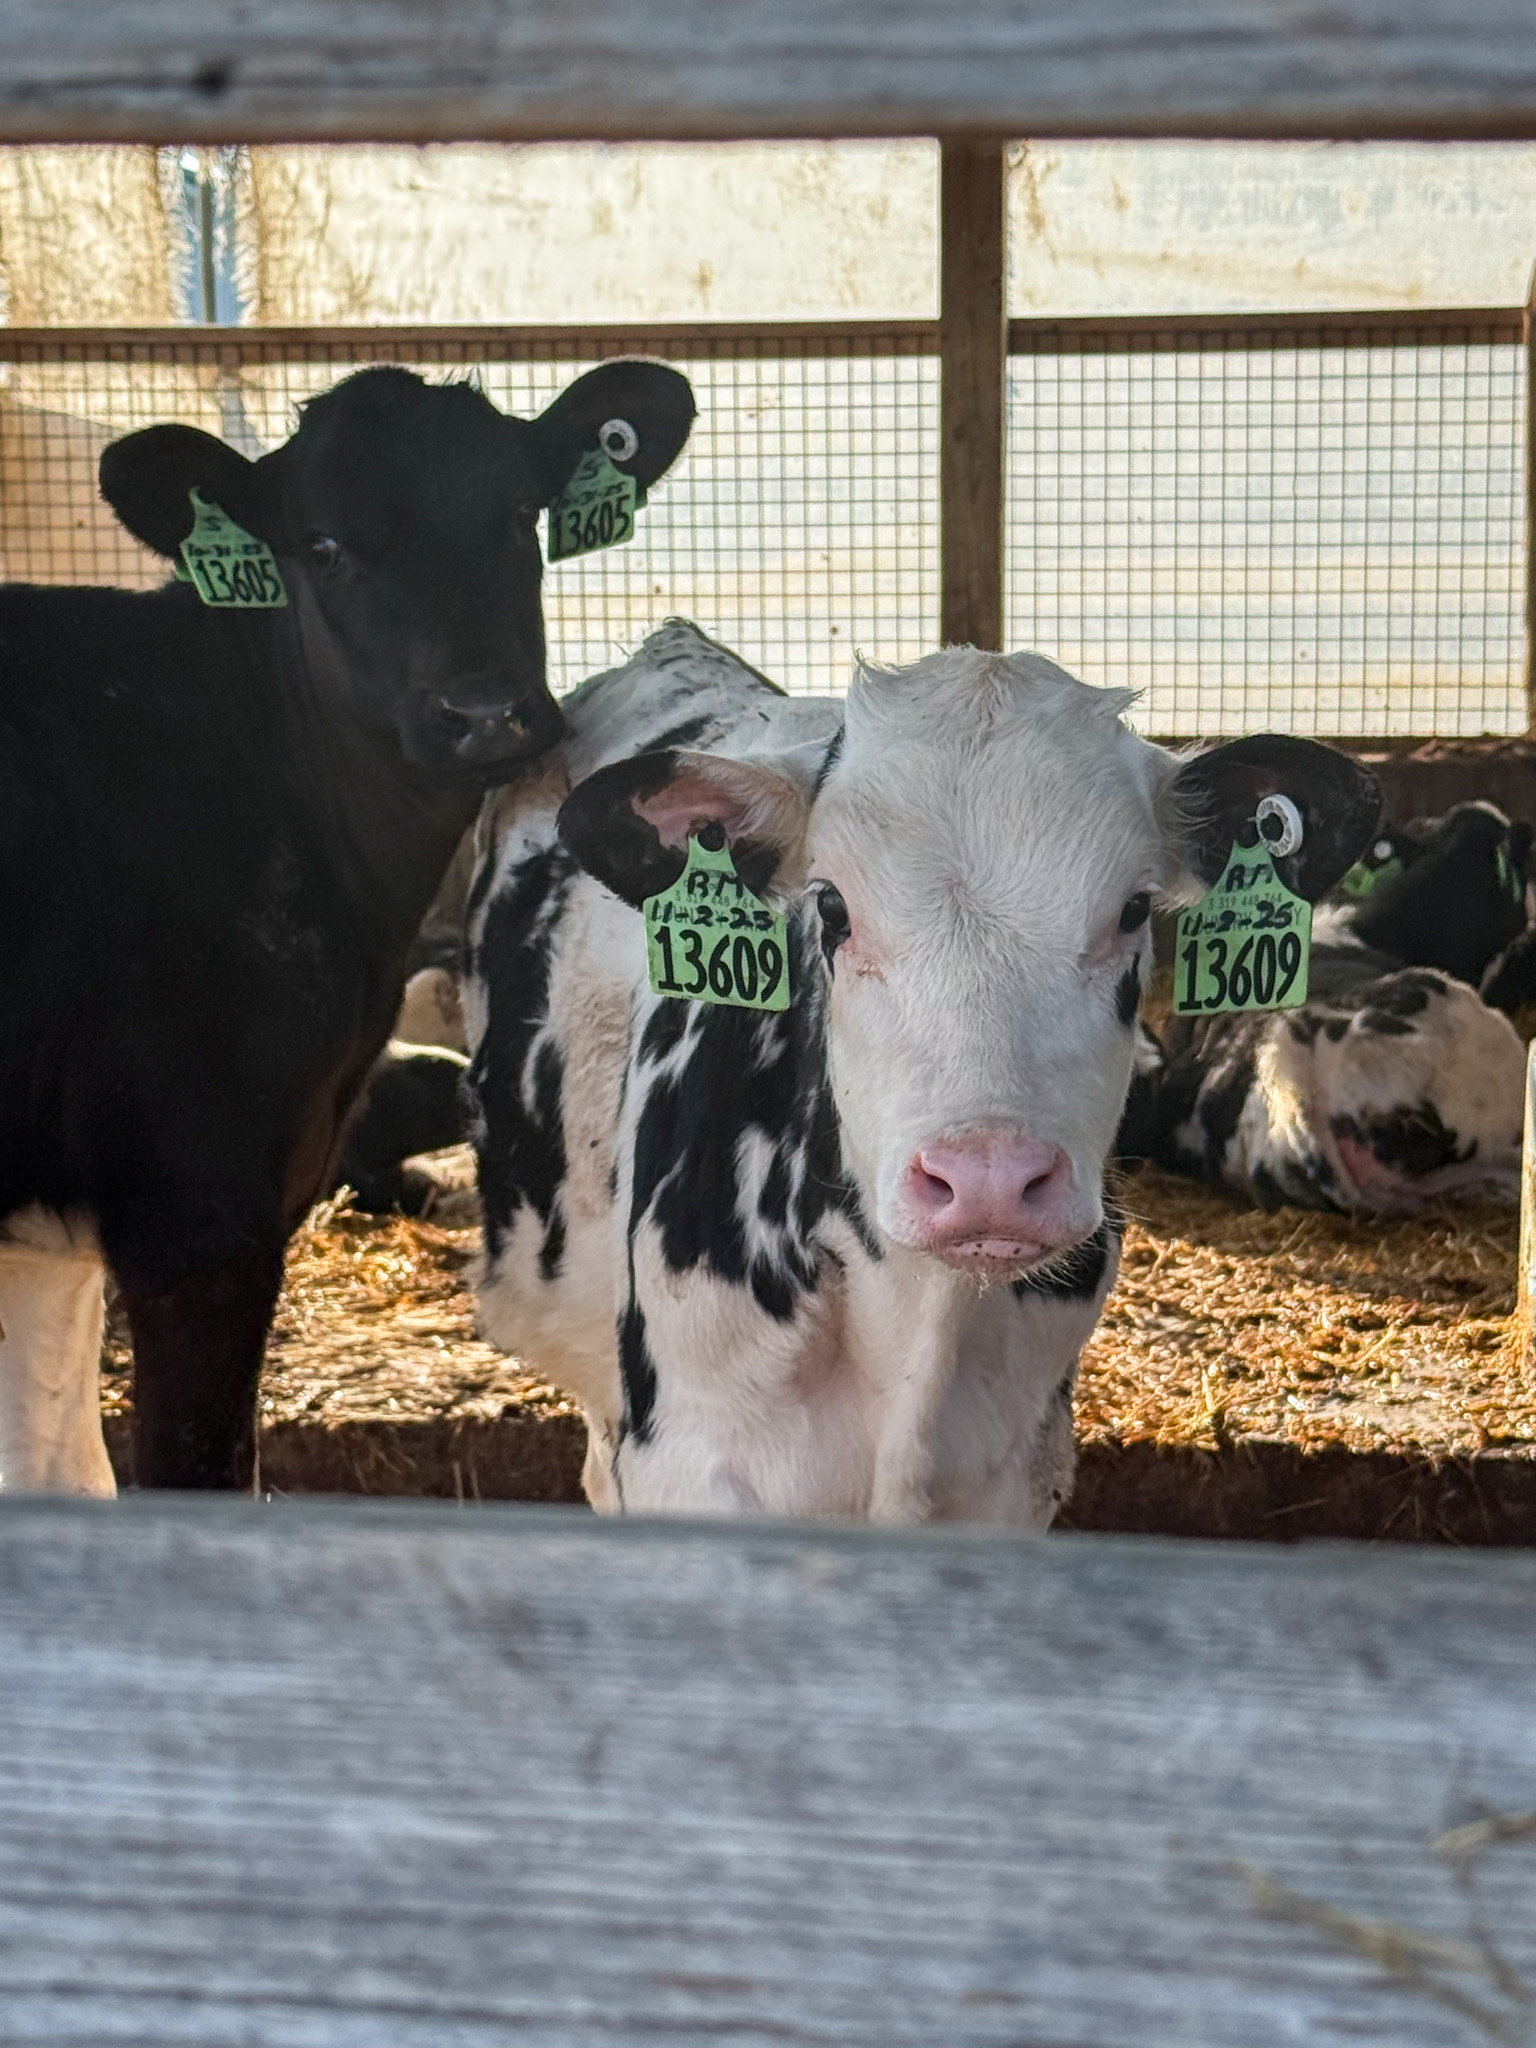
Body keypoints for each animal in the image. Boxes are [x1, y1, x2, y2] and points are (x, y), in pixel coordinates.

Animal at [464, 620, 1375, 1524]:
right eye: (831, 905)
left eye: (1132, 909)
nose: (989, 1181)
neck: (914, 1342)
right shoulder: (686, 1461)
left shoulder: (1016, 1473)